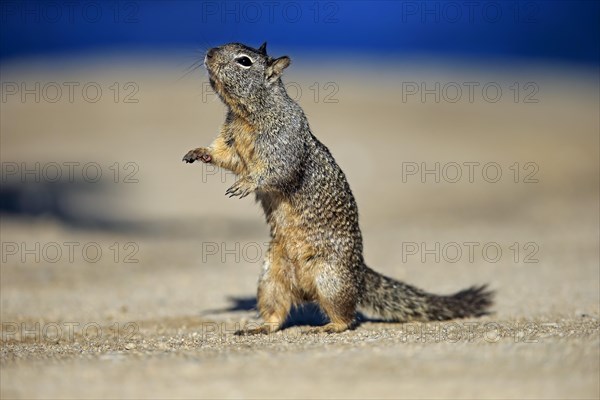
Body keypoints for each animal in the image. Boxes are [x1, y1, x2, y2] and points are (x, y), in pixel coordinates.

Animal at [183, 42, 492, 334]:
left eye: (244, 61)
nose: (209, 53)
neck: (246, 114)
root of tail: (359, 270)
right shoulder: (231, 140)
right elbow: (225, 156)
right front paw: (199, 153)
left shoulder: (283, 141)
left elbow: (276, 169)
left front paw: (246, 183)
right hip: (270, 279)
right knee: (276, 312)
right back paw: (260, 327)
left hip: (330, 278)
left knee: (347, 314)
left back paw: (330, 326)